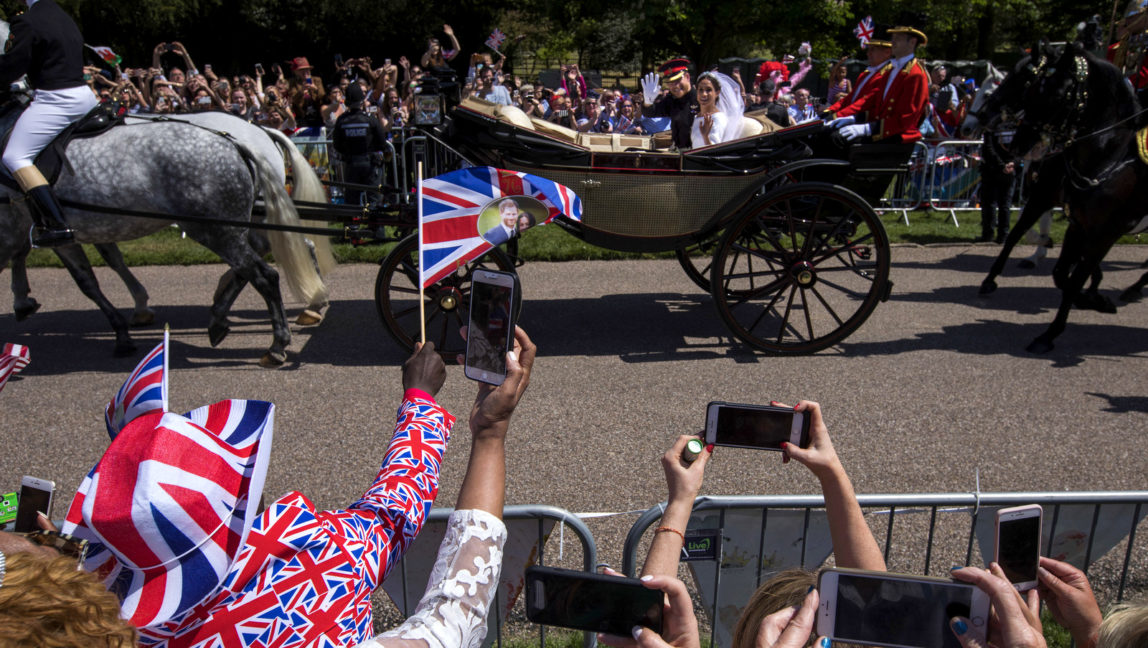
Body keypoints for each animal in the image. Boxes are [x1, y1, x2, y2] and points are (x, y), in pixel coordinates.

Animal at [968, 42, 1148, 351]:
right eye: (1031, 88)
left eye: (1057, 94)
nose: (978, 118)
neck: (1109, 156)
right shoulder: (1063, 210)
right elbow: (1045, 256)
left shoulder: (1105, 229)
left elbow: (1073, 275)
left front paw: (1050, 333)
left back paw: (1133, 288)